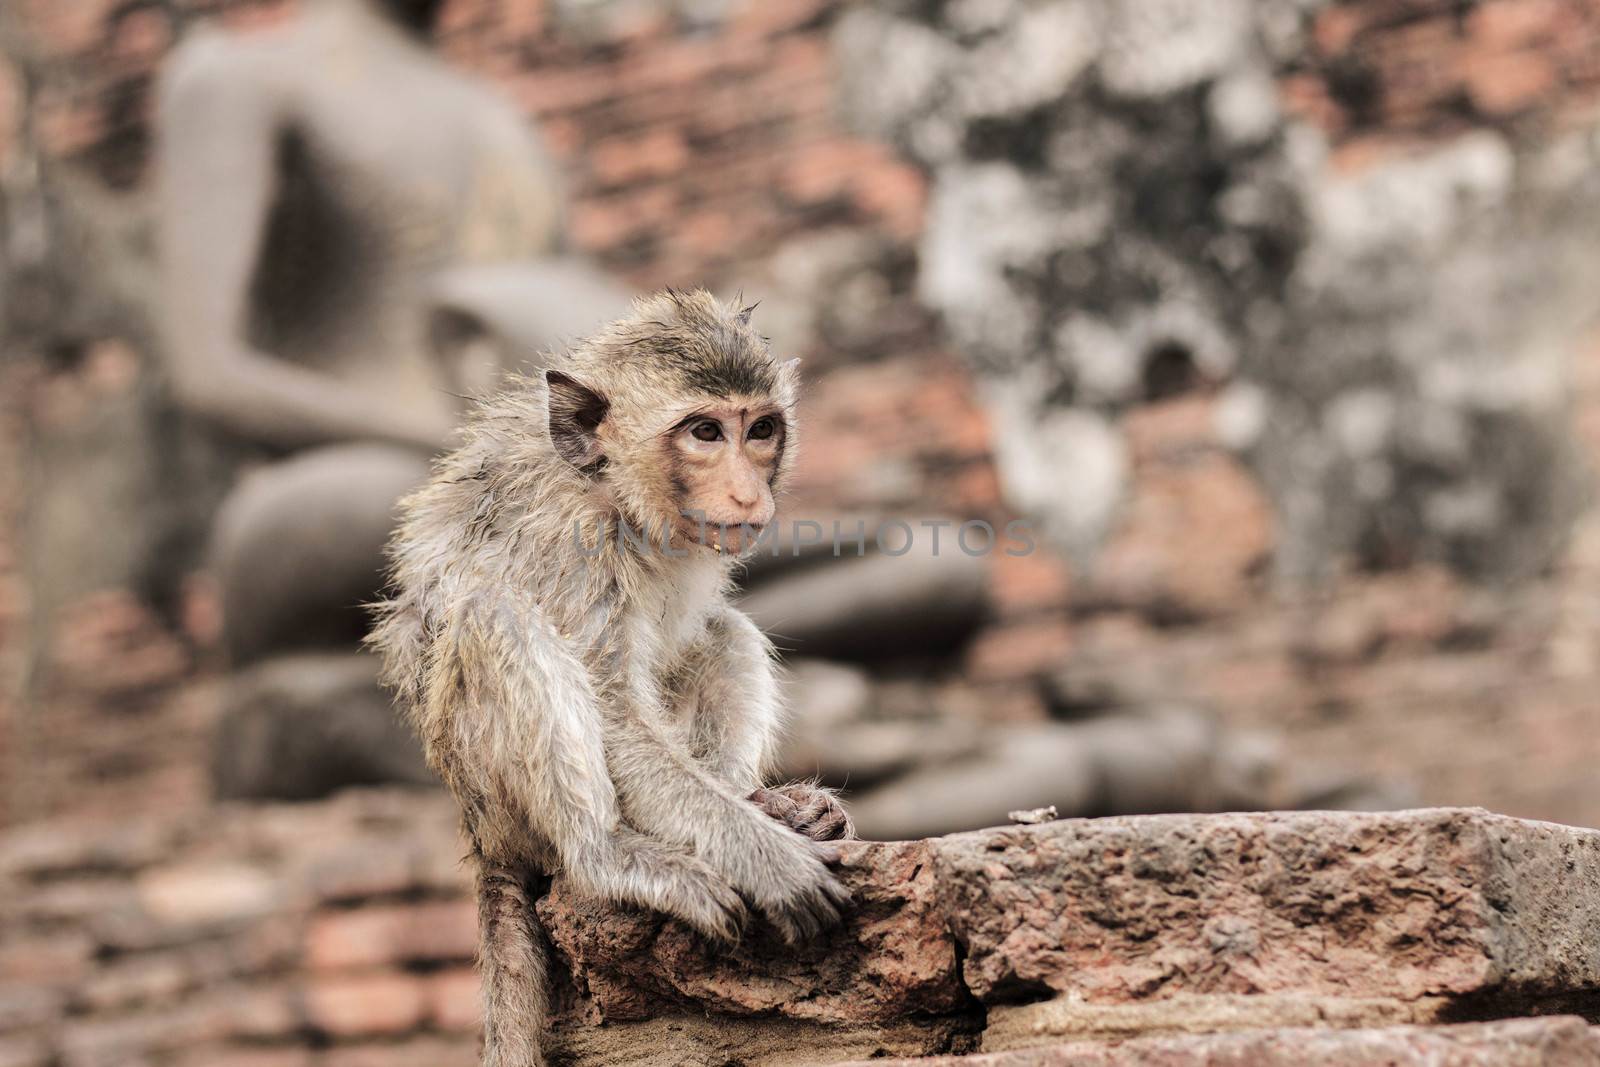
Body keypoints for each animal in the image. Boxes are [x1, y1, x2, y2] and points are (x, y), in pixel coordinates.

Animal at [368, 287, 857, 1062]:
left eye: (761, 430)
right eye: (704, 431)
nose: (749, 495)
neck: (615, 497)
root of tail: (477, 829)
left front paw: (764, 818)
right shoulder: (575, 548)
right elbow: (617, 716)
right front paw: (765, 859)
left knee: (722, 630)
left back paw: (755, 799)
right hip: (496, 790)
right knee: (497, 617)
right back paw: (607, 855)